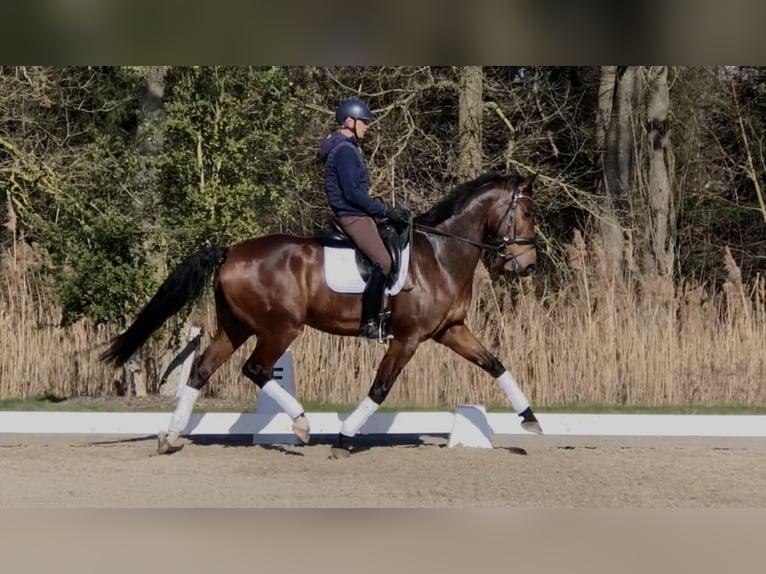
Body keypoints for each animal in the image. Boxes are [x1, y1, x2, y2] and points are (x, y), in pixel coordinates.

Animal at [101, 172, 542, 457]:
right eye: (527, 214)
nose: (528, 266)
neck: (440, 254)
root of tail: (230, 251)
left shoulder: (450, 329)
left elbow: (495, 364)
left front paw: (530, 420)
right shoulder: (408, 338)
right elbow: (380, 387)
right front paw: (345, 438)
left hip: (235, 327)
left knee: (201, 371)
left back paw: (171, 436)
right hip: (280, 328)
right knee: (256, 369)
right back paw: (301, 425)